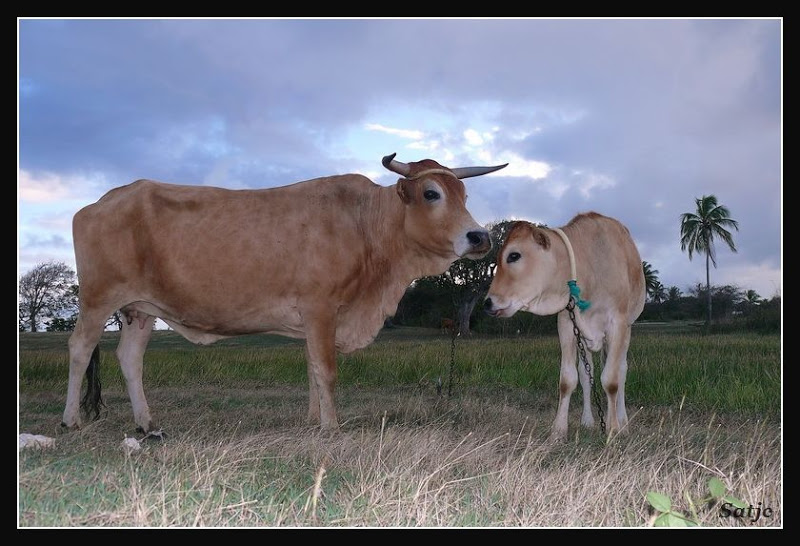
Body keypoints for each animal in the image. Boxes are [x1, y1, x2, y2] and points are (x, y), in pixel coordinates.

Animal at [62, 152, 504, 430]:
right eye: (431, 193)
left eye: (464, 194)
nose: (480, 236)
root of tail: (108, 198)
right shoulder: (321, 307)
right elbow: (326, 370)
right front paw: (332, 426)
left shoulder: (313, 319)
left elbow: (311, 368)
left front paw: (312, 420)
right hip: (98, 299)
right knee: (80, 348)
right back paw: (71, 420)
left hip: (140, 308)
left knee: (129, 358)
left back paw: (147, 423)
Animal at [482, 210, 644, 440]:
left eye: (514, 255)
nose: (488, 303)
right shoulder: (567, 323)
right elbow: (568, 380)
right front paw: (558, 431)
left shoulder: (618, 324)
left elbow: (612, 381)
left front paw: (613, 429)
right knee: (586, 374)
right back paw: (588, 421)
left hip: (626, 330)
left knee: (621, 372)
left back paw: (623, 422)